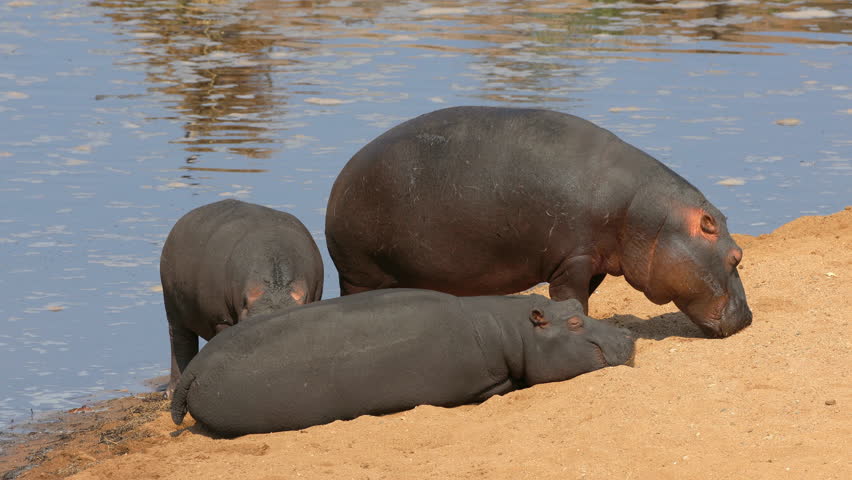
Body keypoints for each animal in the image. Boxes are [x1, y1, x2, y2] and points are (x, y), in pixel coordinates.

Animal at [160, 199, 323, 397]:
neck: (275, 288)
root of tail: (182, 220)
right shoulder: (220, 320)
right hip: (173, 309)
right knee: (180, 342)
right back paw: (171, 393)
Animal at [325, 106, 752, 338]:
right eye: (737, 256)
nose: (748, 318)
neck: (647, 214)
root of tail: (337, 185)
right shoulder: (574, 259)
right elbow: (571, 297)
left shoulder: (594, 261)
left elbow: (583, 296)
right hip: (360, 271)